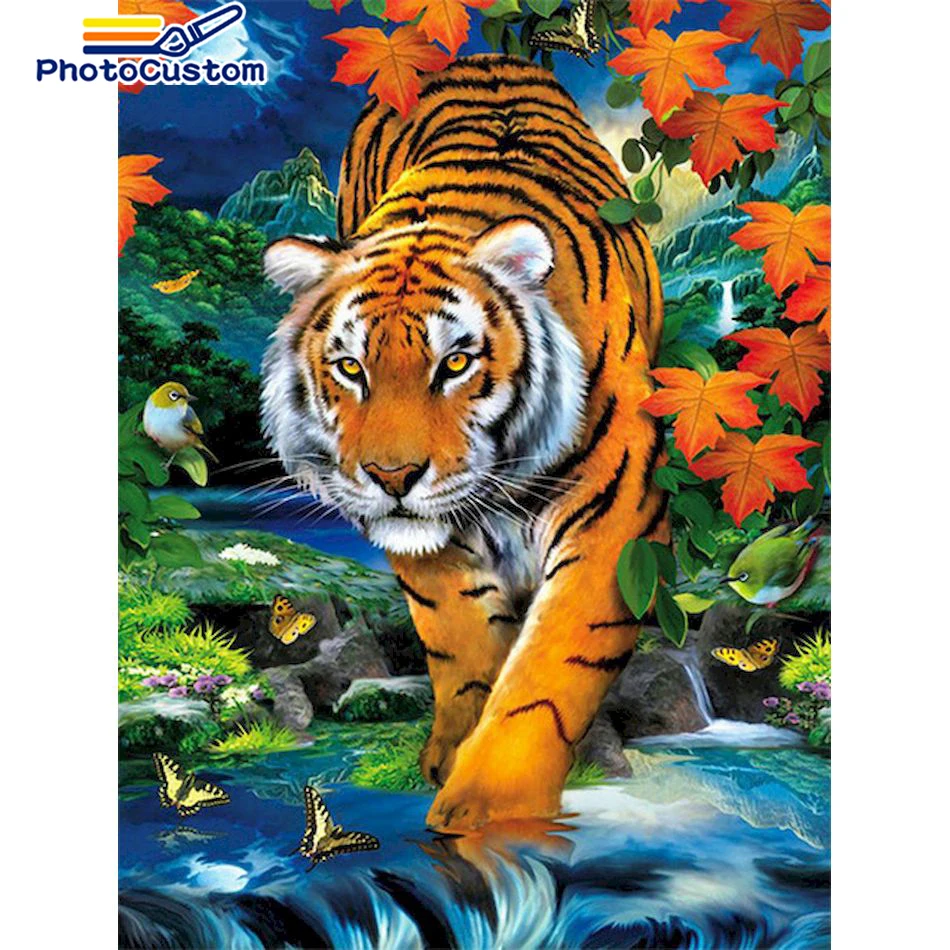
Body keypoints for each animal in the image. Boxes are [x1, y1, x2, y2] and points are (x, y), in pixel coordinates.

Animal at [261, 54, 668, 831]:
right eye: (350, 368)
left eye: (454, 363)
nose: (391, 477)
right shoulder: (430, 547)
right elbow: (463, 641)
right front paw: (453, 757)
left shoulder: (616, 507)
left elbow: (549, 672)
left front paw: (486, 808)